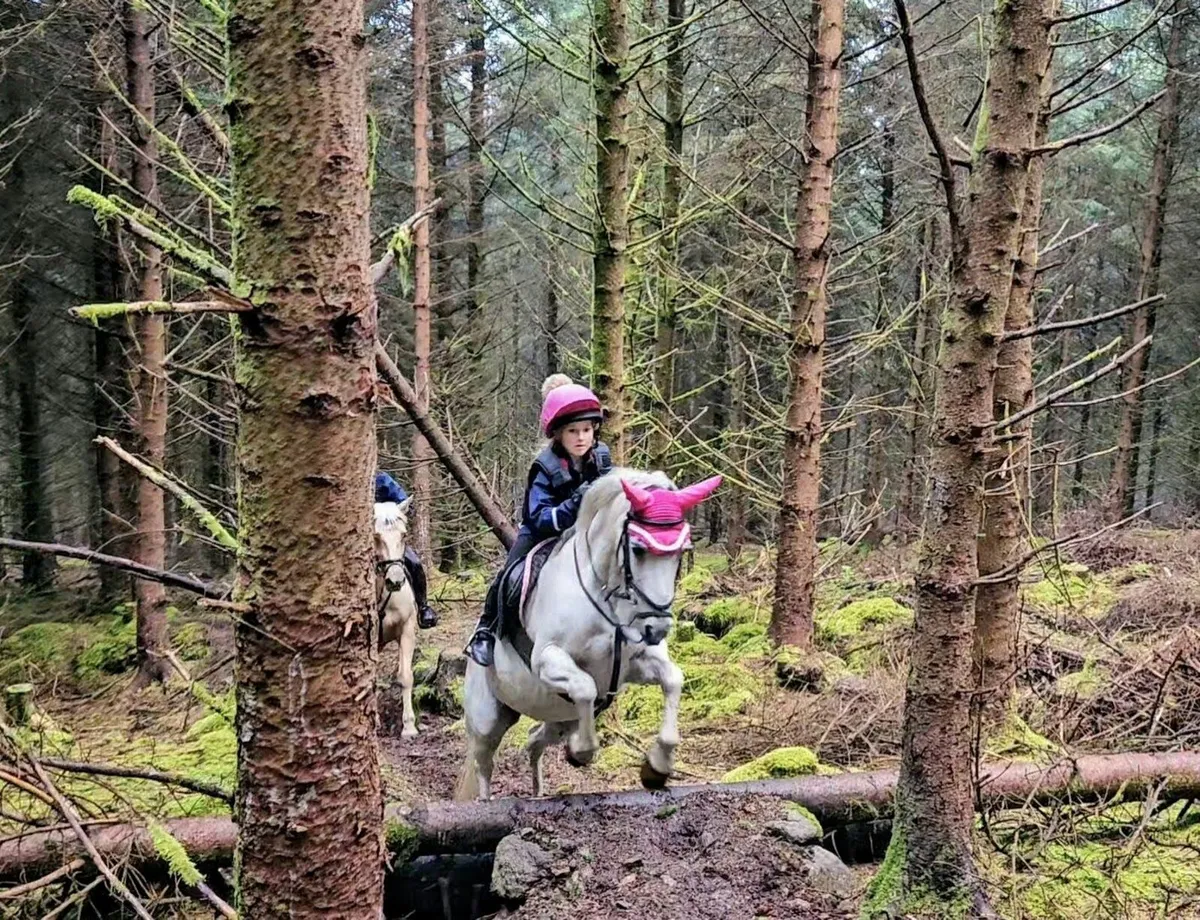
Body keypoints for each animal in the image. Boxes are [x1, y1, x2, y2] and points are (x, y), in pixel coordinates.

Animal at [456, 468, 722, 800]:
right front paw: (582, 751)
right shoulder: (547, 659)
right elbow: (584, 687)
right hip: (487, 718)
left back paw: (539, 791)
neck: (605, 598)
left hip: (558, 719)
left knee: (533, 740)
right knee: (484, 763)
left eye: (682, 552)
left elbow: (673, 679)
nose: (657, 629)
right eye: (637, 549)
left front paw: (658, 766)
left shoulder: (634, 663)